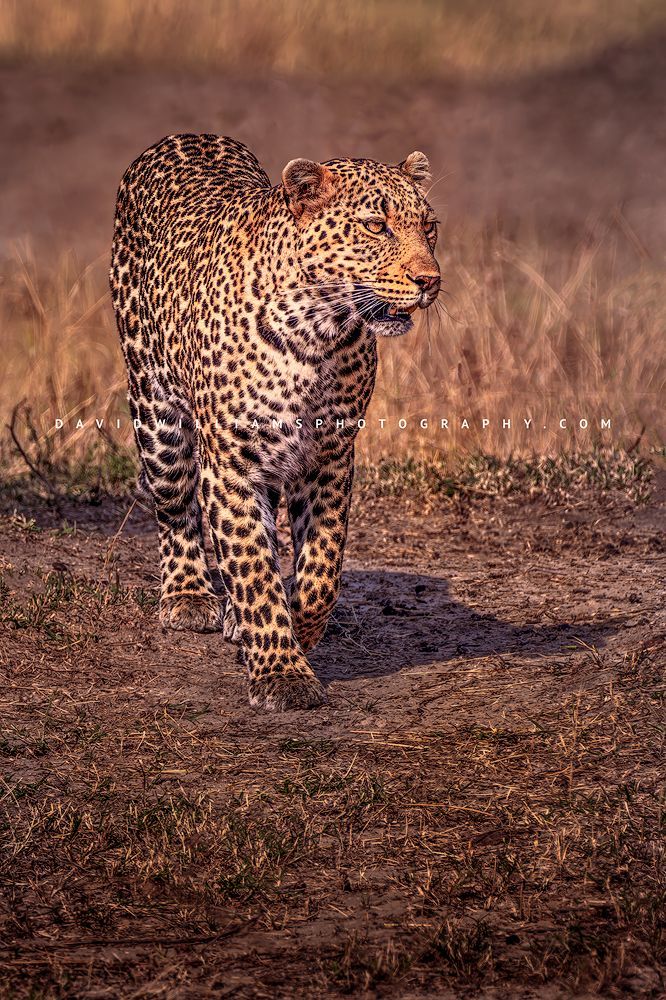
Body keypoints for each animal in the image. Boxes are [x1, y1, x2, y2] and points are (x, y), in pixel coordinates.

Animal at [110, 133, 440, 712]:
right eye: (376, 226)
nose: (430, 281)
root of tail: (182, 136)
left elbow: (321, 566)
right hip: (157, 414)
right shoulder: (232, 462)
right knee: (174, 507)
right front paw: (282, 674)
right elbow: (252, 568)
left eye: (430, 227)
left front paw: (298, 629)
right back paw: (188, 595)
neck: (319, 332)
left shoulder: (330, 455)